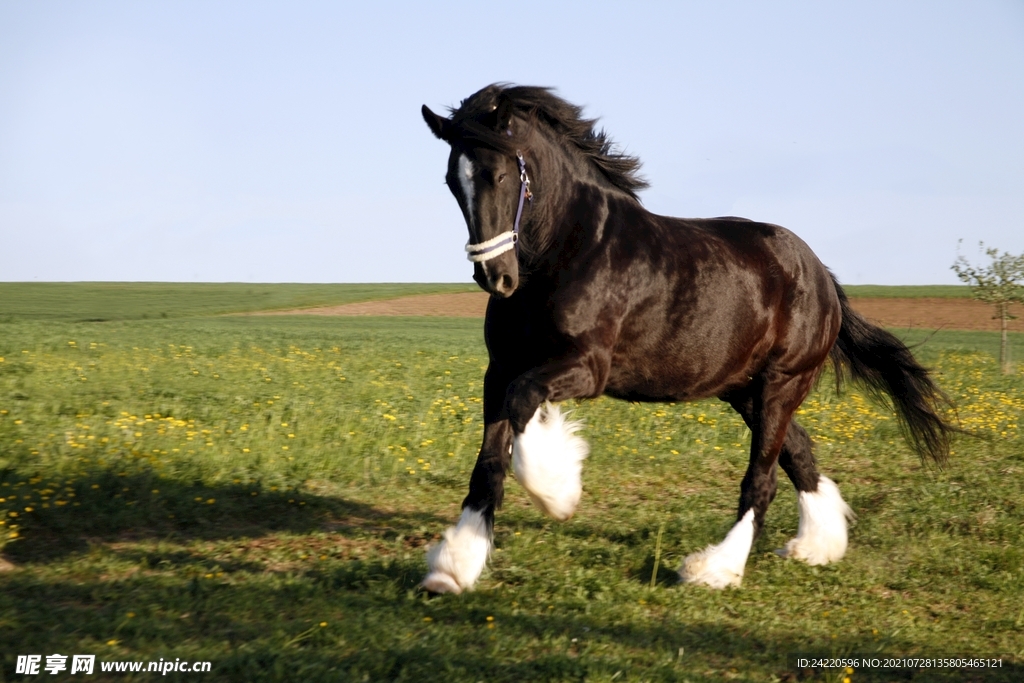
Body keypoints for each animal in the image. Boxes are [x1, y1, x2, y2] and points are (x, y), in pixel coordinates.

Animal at [418, 84, 952, 594]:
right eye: (452, 180)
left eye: (499, 175)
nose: (495, 277)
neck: (568, 250)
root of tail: (821, 274)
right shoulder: (500, 369)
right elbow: (489, 464)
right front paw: (453, 568)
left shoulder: (587, 366)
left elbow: (525, 403)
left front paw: (558, 491)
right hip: (745, 390)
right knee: (798, 453)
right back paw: (817, 545)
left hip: (782, 383)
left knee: (762, 479)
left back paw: (715, 569)